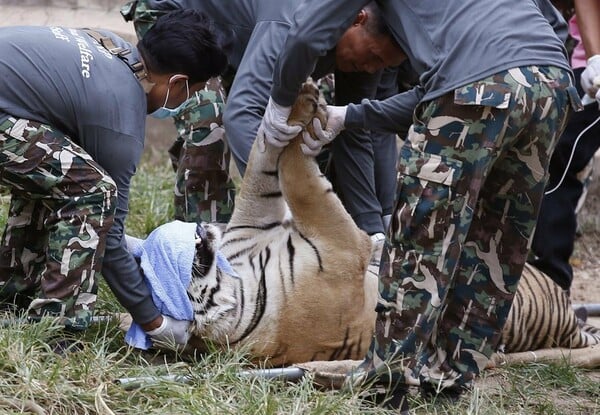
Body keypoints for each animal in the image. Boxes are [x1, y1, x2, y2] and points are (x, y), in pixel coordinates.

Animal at [148, 79, 596, 366]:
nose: (197, 231)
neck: (241, 283)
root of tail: (568, 312)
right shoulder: (340, 246)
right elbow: (300, 176)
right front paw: (308, 104)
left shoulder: (252, 222)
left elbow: (265, 161)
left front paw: (295, 106)